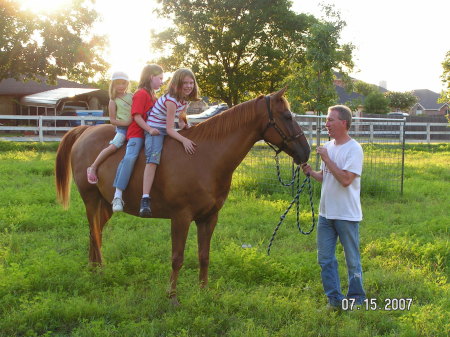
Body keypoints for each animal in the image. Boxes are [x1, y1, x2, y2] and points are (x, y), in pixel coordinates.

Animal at [54, 88, 310, 304]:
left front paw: (204, 291)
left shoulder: (209, 218)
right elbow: (177, 258)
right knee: (95, 232)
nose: (306, 152)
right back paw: (99, 271)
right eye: (287, 116)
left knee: (94, 232)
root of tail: (86, 131)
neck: (204, 156)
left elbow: (204, 256)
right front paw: (172, 296)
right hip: (91, 200)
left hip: (106, 205)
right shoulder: (181, 218)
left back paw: (94, 268)